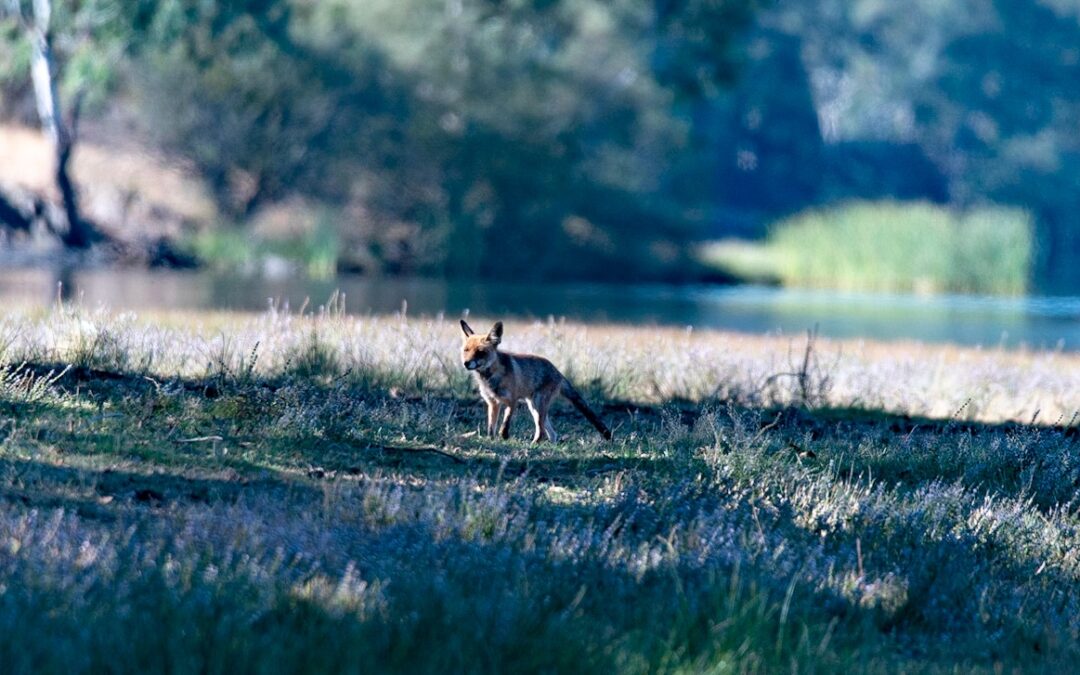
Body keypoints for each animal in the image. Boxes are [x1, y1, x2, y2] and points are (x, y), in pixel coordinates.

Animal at [457, 319, 617, 444]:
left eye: (480, 352)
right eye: (466, 350)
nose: (466, 363)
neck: (491, 377)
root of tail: (558, 372)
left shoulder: (512, 401)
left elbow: (505, 423)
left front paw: (504, 435)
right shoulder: (493, 402)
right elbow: (491, 427)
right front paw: (491, 440)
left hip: (538, 405)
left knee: (542, 433)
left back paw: (533, 444)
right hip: (534, 407)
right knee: (552, 434)